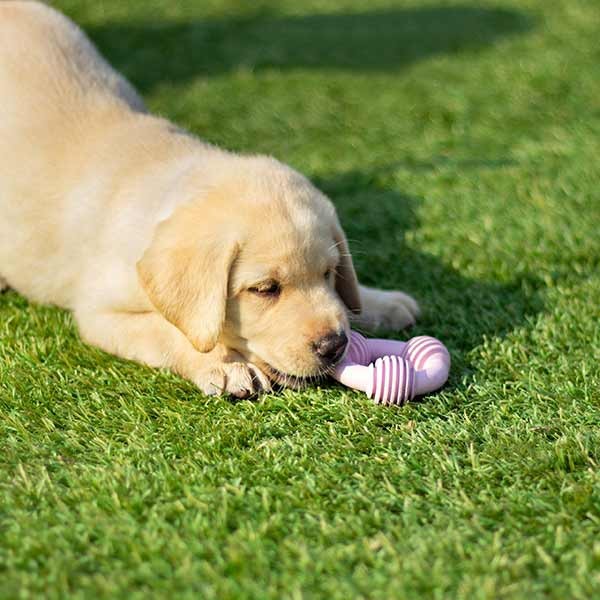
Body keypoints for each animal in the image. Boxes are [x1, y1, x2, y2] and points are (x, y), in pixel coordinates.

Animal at [0, 4, 420, 400]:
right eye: (265, 289)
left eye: (329, 273)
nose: (334, 346)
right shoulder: (101, 313)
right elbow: (167, 331)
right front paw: (224, 364)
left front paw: (378, 302)